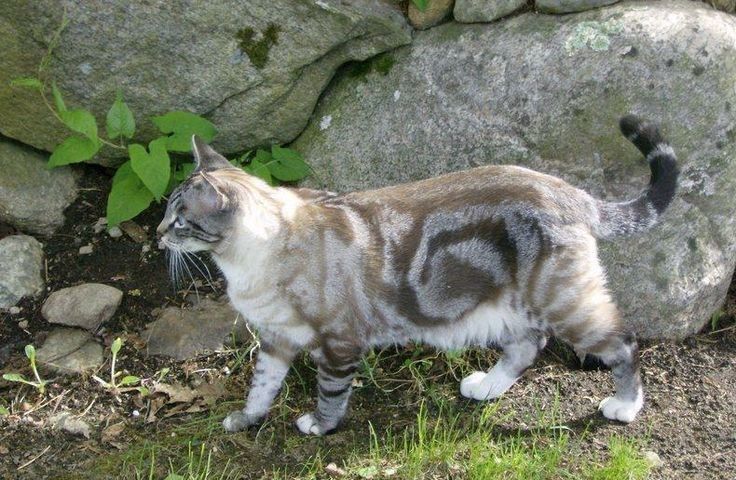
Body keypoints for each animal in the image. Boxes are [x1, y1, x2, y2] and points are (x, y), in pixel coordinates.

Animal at [155, 115, 680, 436]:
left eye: (180, 219)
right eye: (165, 211)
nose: (158, 235)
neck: (246, 264)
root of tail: (571, 193)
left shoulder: (339, 343)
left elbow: (330, 395)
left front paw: (319, 426)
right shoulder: (276, 339)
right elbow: (261, 386)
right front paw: (244, 420)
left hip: (563, 303)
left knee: (622, 343)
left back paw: (625, 407)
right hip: (510, 305)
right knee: (528, 346)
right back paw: (487, 387)